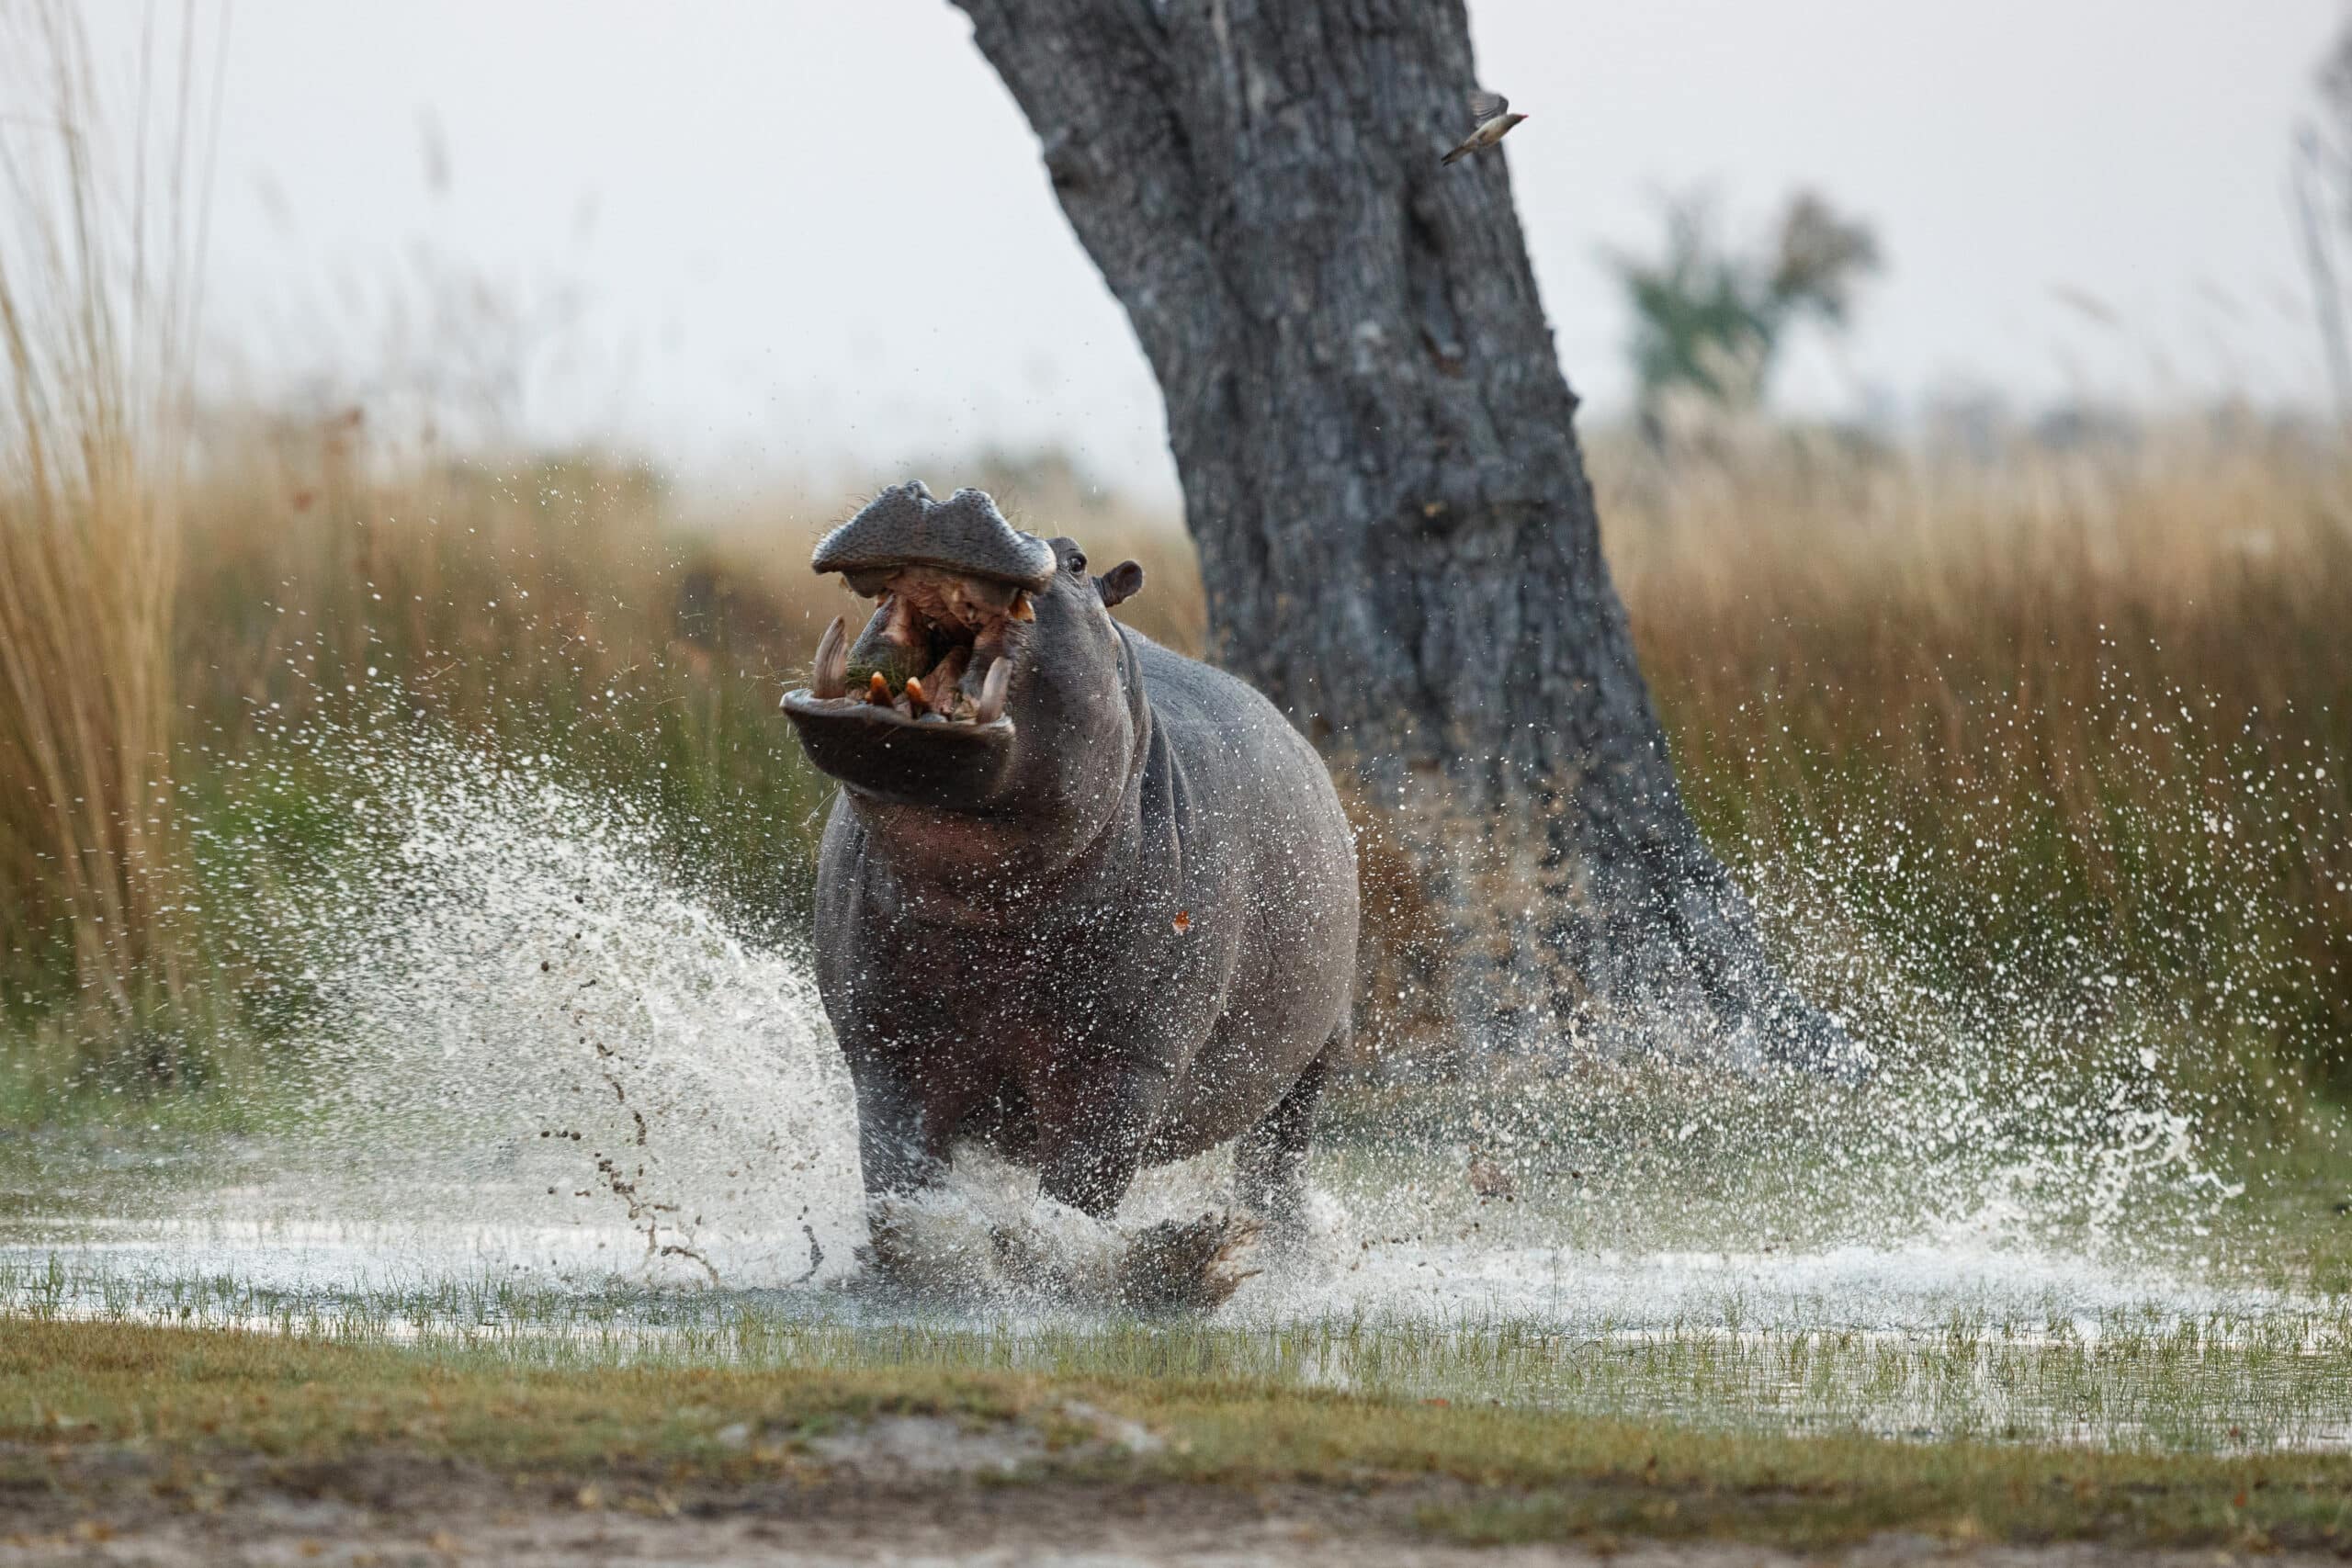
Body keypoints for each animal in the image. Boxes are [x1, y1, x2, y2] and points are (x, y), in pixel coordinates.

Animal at [779, 482, 1358, 1304]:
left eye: (1079, 560)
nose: (939, 499)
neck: (985, 891)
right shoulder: (887, 1040)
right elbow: (898, 1173)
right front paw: (920, 1263)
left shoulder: (1126, 1064)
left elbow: (1081, 1191)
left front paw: (1123, 1267)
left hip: (1316, 1055)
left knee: (1277, 1159)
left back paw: (1285, 1259)